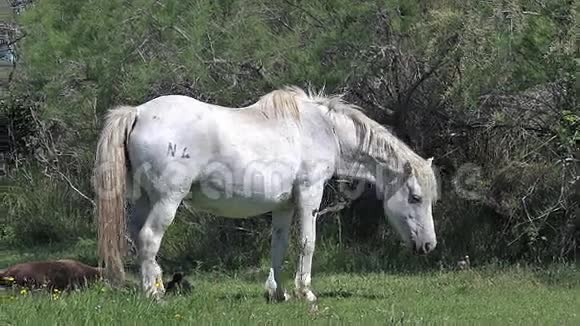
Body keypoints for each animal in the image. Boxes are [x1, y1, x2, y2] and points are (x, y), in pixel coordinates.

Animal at [94, 86, 440, 300]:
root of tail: (137, 112)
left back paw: (150, 287)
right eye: (415, 198)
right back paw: (154, 294)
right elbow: (307, 243)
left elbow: (280, 245)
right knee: (150, 238)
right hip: (168, 200)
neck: (323, 129)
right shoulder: (309, 195)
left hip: (143, 200)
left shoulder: (284, 205)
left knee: (139, 236)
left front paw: (277, 292)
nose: (429, 245)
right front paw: (305, 292)